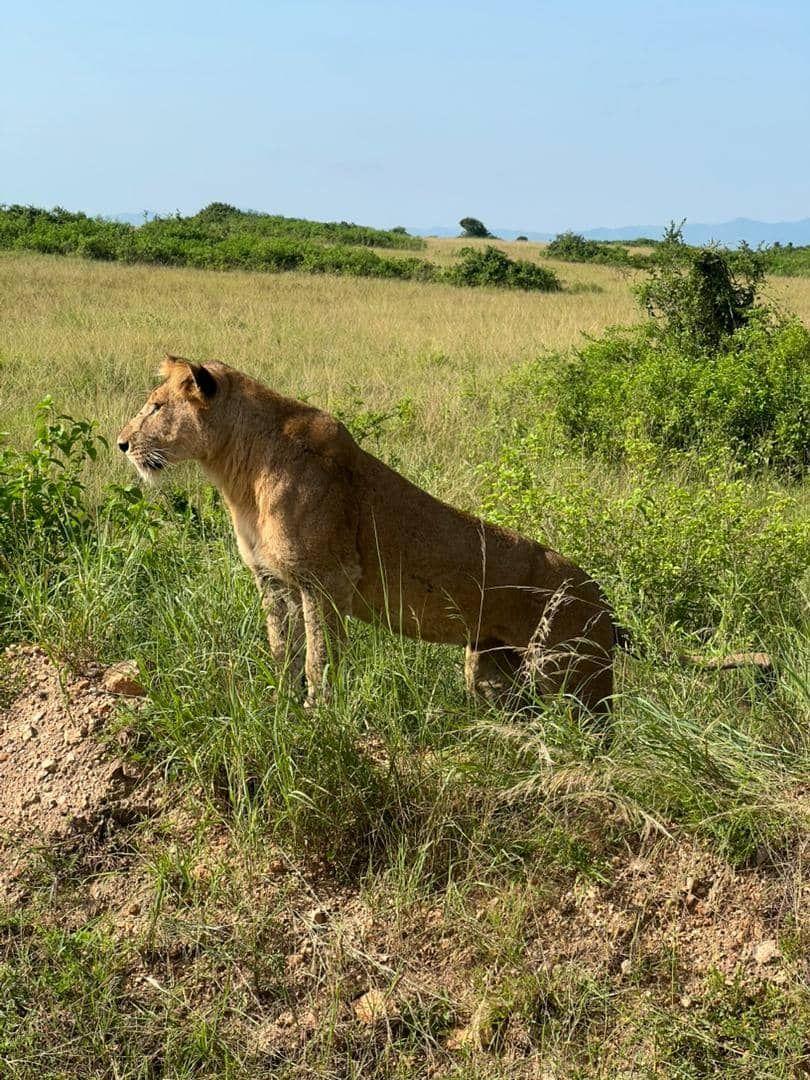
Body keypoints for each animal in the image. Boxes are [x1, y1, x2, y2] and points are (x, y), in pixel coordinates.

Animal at [118, 356, 616, 713]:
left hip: (572, 675)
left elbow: (319, 655)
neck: (237, 473)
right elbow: (282, 649)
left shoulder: (326, 580)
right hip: (492, 668)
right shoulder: (272, 578)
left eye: (156, 407)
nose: (122, 443)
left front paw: (317, 713)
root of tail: (600, 594)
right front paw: (280, 704)